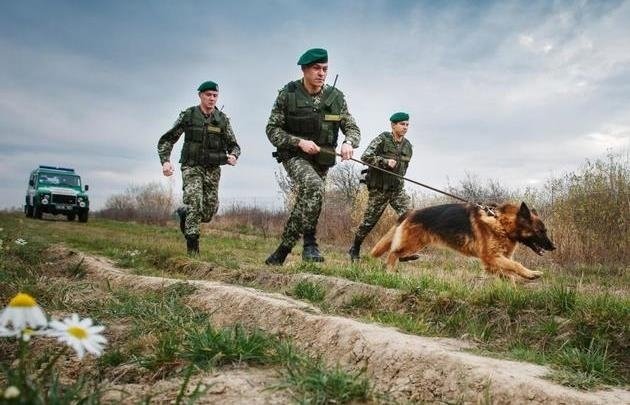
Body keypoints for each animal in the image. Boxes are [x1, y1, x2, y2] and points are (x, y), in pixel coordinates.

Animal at [372, 201, 556, 278]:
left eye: (545, 231)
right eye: (540, 231)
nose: (553, 247)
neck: (501, 223)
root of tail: (411, 212)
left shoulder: (494, 261)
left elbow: (508, 272)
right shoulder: (492, 257)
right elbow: (517, 265)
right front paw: (531, 274)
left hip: (417, 244)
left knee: (397, 253)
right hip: (412, 243)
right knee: (393, 253)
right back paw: (389, 271)